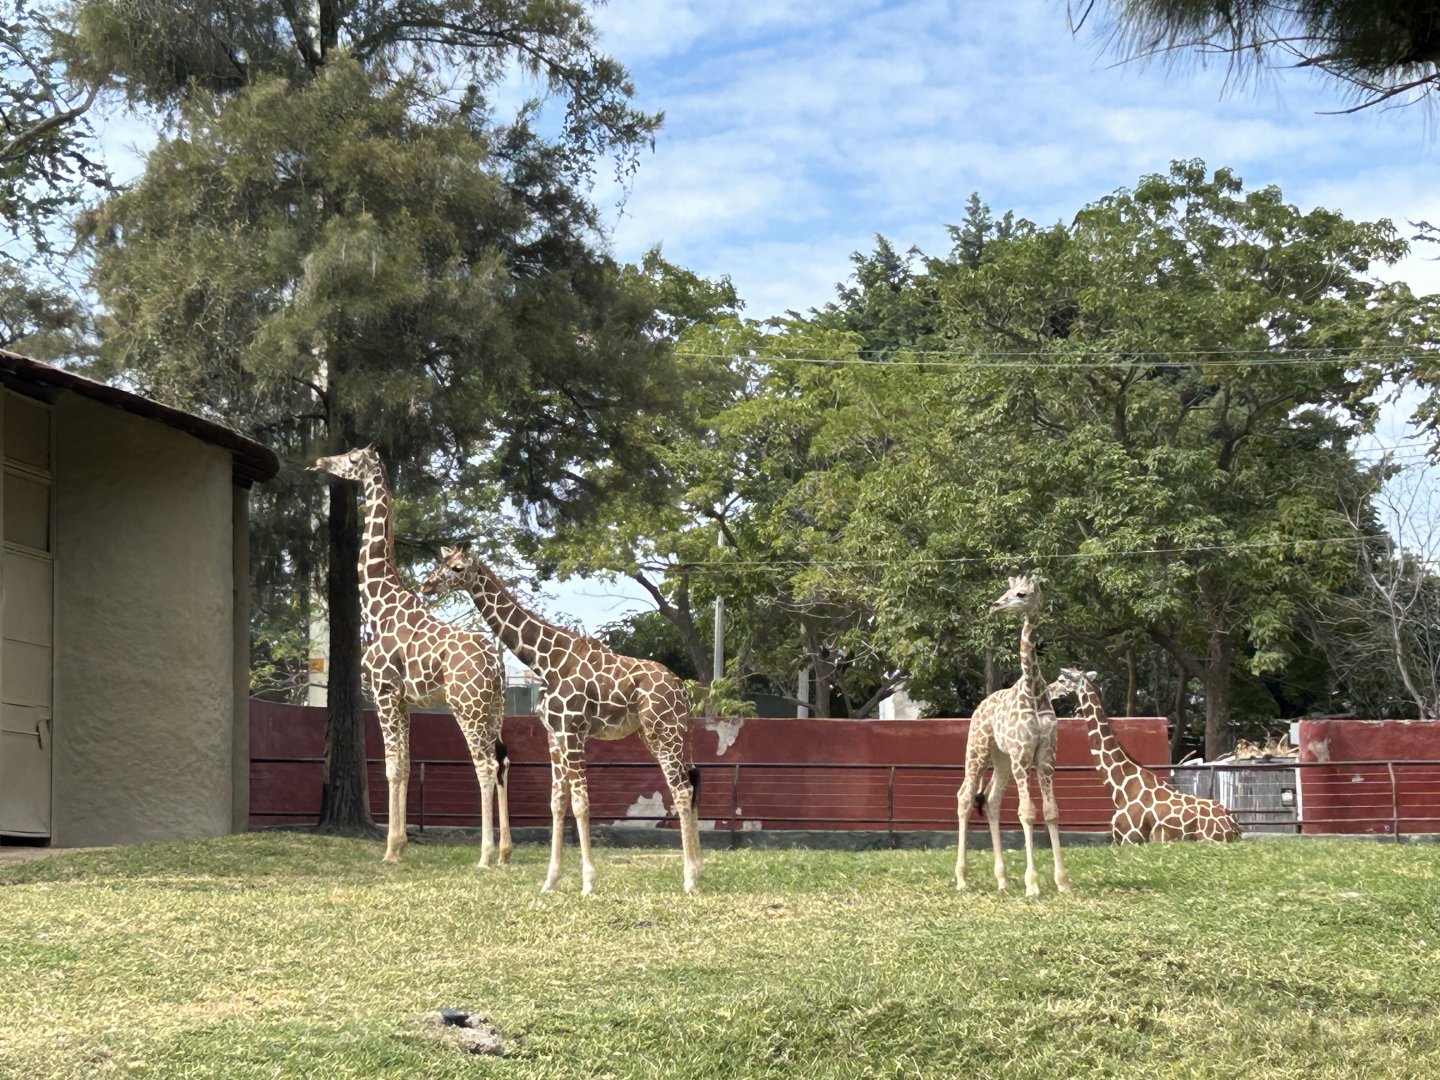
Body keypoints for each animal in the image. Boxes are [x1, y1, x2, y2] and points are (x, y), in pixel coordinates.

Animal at [311, 448, 511, 868]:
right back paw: (505, 852)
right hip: (493, 709)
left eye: (350, 458)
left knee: (485, 765)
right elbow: (402, 766)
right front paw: (399, 845)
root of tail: (496, 665)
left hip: (466, 707)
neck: (377, 604)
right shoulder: (404, 700)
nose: (320, 461)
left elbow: (389, 767)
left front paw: (389, 850)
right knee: (501, 762)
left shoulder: (384, 692)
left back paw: (484, 855)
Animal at [418, 545, 702, 896]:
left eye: (458, 568)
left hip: (665, 732)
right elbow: (557, 802)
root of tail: (683, 691)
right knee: (690, 782)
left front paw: (588, 883)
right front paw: (550, 880)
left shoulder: (573, 731)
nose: (427, 586)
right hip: (658, 734)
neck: (546, 661)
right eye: (440, 563)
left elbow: (581, 803)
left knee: (681, 790)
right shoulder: (553, 734)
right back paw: (698, 870)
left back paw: (690, 879)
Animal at [955, 575, 1071, 897]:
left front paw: (1062, 882)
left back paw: (1002, 880)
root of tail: (979, 707)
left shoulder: (1046, 755)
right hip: (978, 749)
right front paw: (1032, 884)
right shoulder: (1022, 754)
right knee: (965, 796)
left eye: (1021, 594)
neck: (1034, 689)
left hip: (1001, 758)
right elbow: (1027, 812)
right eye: (1007, 591)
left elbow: (1052, 810)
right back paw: (961, 879)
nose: (995, 605)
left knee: (991, 800)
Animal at [1048, 668, 1242, 844]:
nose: (1049, 689)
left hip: (1207, 840)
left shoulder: (1130, 840)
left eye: (1062, 680)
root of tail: (1235, 828)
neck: (1120, 787)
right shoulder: (1118, 841)